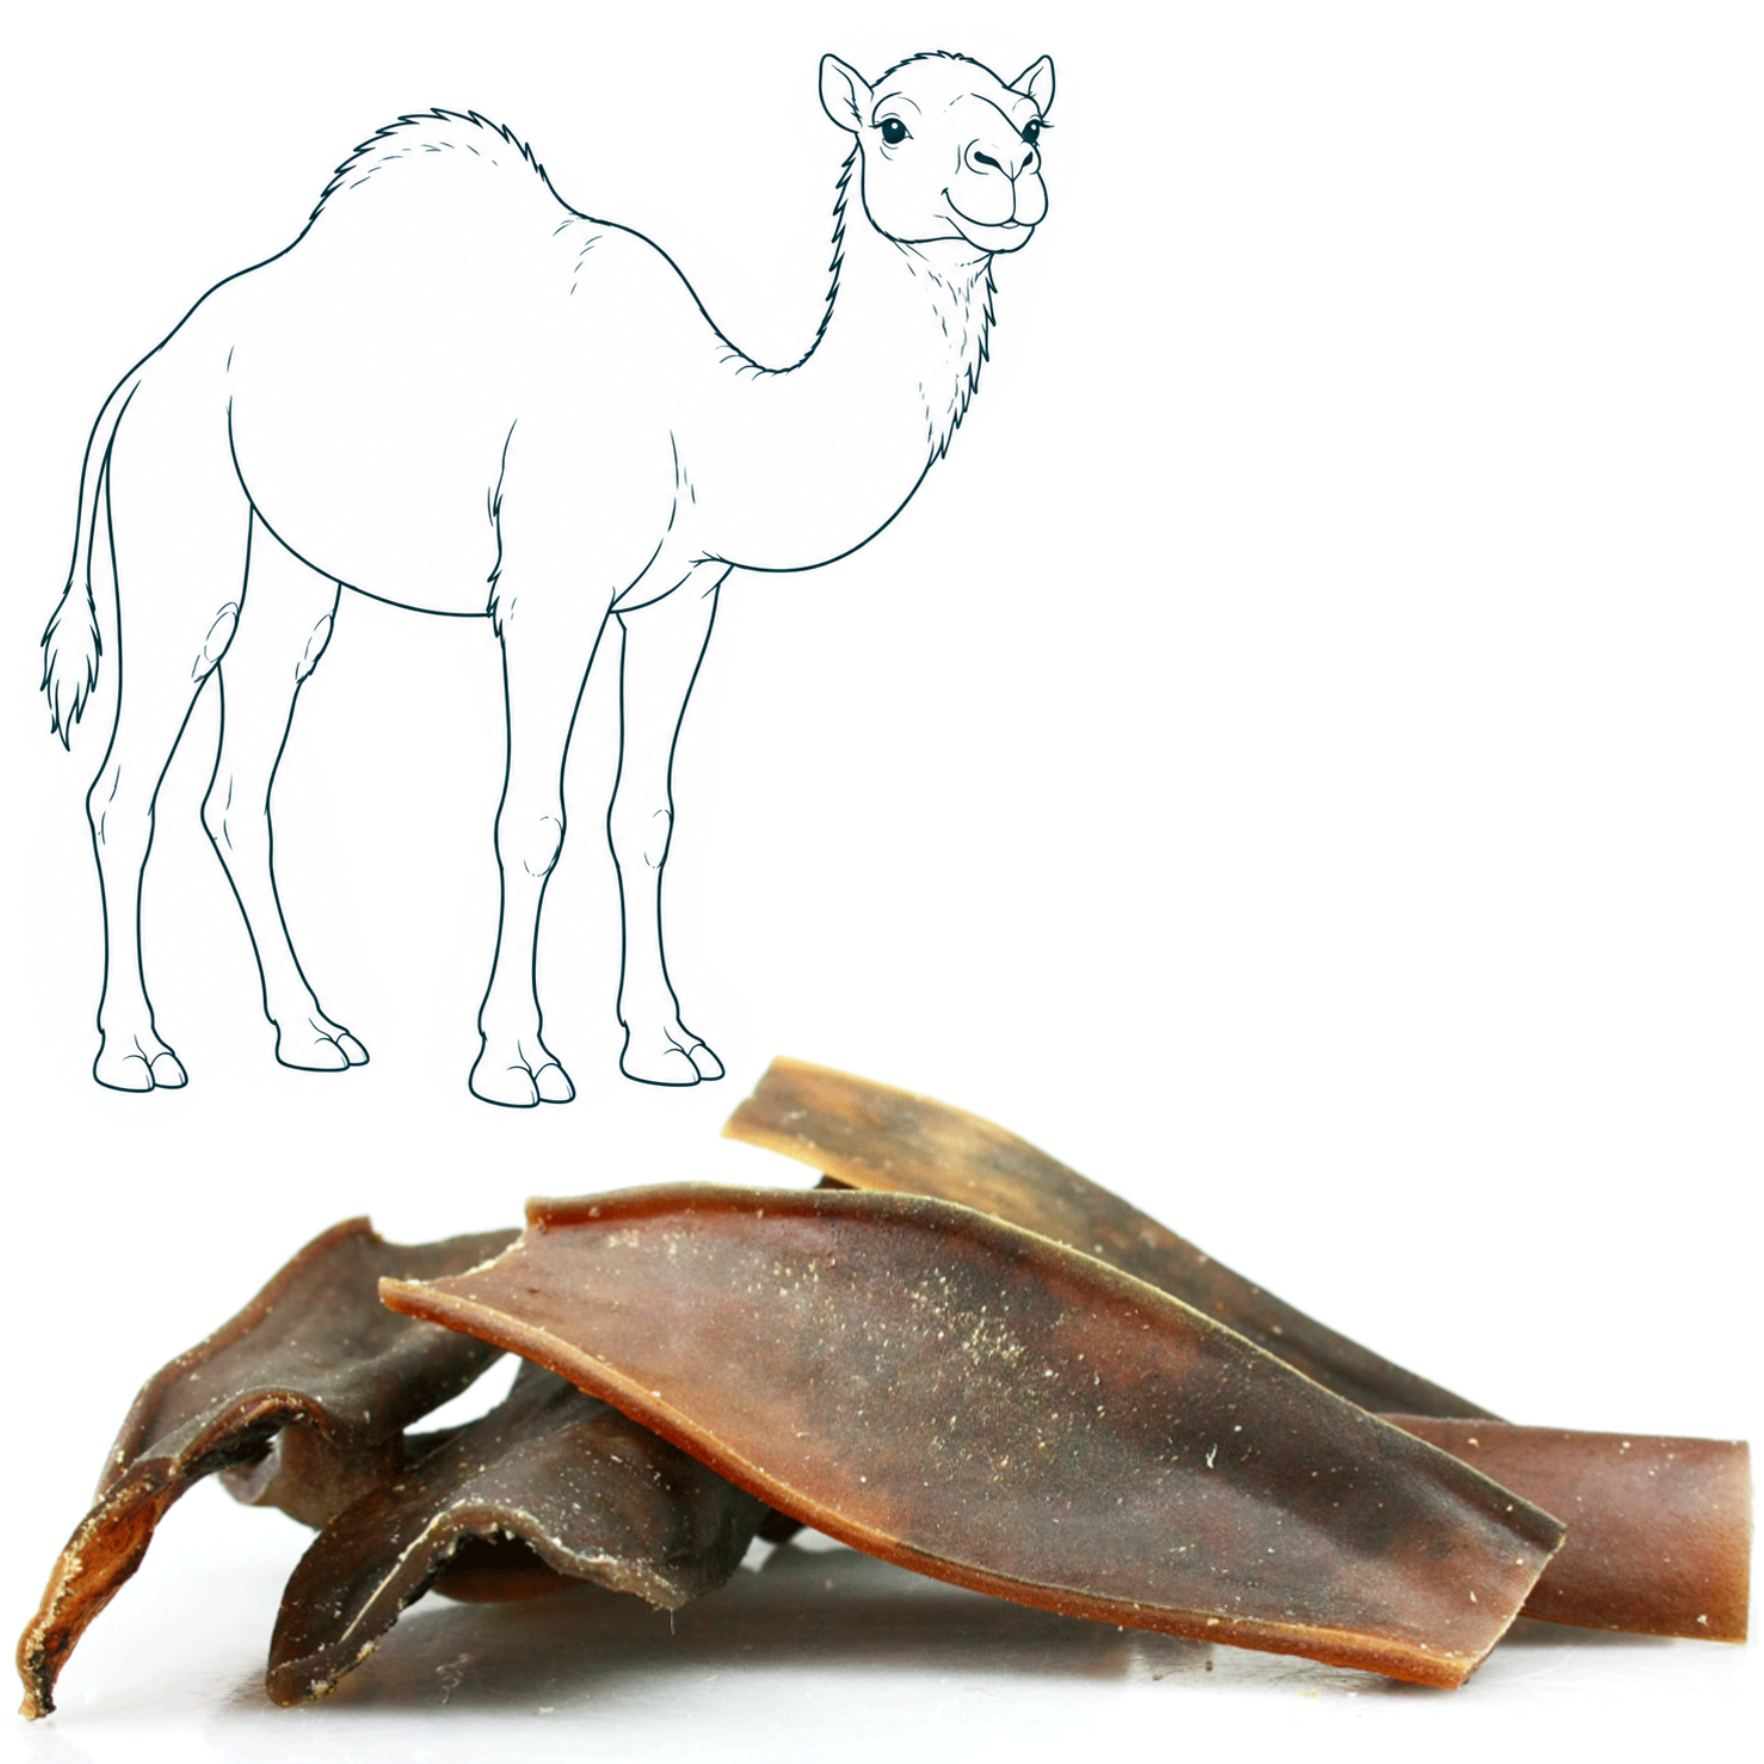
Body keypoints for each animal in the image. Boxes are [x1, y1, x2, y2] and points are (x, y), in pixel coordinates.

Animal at [39, 50, 1055, 1106]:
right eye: (891, 126)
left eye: (1032, 124)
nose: (1009, 172)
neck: (703, 417)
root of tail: (142, 375)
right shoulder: (547, 596)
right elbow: (531, 820)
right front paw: (516, 1060)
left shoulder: (682, 601)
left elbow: (644, 815)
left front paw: (665, 1046)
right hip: (180, 526)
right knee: (124, 788)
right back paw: (136, 1052)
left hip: (287, 575)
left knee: (239, 785)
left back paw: (314, 1032)